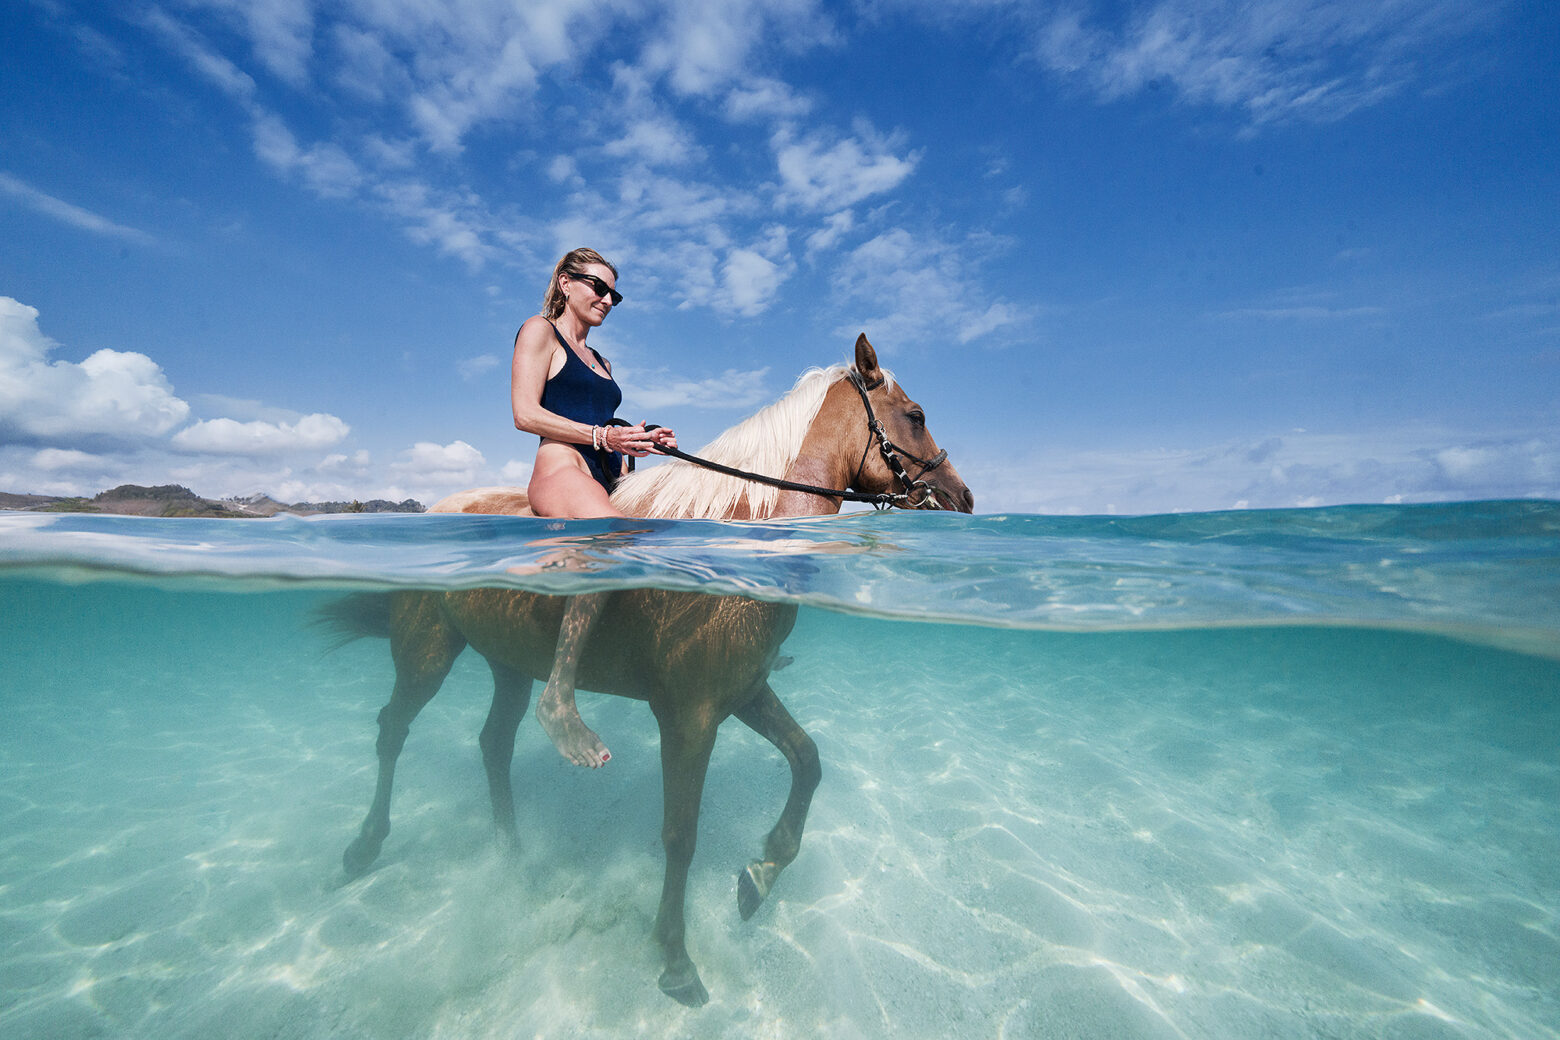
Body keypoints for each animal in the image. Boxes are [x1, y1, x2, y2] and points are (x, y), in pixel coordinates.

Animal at [322, 338, 967, 1004]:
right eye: (916, 415)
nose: (963, 496)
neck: (742, 533)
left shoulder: (746, 692)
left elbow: (808, 762)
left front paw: (760, 875)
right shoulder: (689, 717)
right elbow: (680, 834)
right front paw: (676, 958)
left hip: (511, 666)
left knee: (493, 743)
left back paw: (511, 853)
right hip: (426, 652)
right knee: (392, 729)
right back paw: (365, 847)